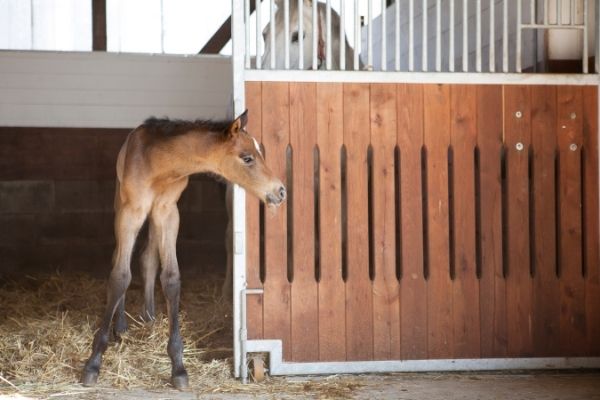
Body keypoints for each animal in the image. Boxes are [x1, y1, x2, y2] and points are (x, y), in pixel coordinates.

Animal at [81, 111, 286, 390]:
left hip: (154, 216)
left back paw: (149, 318)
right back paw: (121, 326)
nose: (280, 191)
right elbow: (120, 276)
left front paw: (178, 366)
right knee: (120, 258)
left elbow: (170, 278)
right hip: (121, 206)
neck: (160, 166)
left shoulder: (168, 211)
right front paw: (94, 362)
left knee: (147, 259)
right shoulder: (132, 211)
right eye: (247, 158)